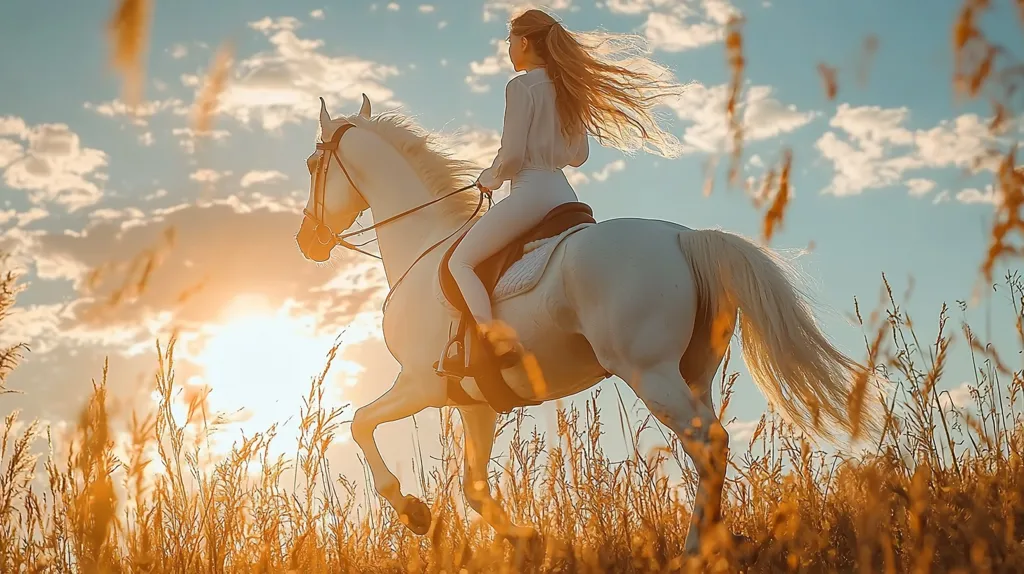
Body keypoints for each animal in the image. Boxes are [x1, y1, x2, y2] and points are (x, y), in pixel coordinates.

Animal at [293, 93, 882, 555]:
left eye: (310, 164)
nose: (307, 243)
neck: (423, 246)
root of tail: (683, 237)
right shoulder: (474, 403)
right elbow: (474, 486)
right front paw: (527, 540)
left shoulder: (421, 383)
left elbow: (359, 423)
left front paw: (412, 510)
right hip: (693, 374)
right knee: (707, 449)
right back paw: (716, 542)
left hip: (650, 373)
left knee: (709, 445)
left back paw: (696, 549)